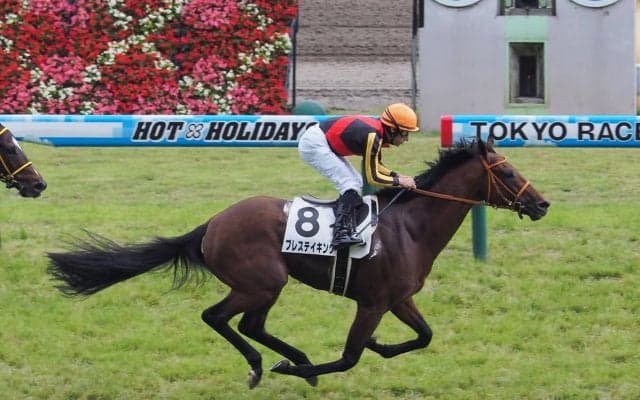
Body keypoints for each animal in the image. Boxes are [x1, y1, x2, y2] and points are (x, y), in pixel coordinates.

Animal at [47, 138, 549, 389]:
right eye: (507, 173)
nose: (542, 204)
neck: (409, 229)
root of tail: (211, 224)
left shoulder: (398, 299)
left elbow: (423, 337)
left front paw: (378, 346)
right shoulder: (372, 303)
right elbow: (347, 358)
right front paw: (303, 371)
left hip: (266, 285)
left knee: (250, 325)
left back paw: (288, 357)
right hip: (263, 281)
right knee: (220, 318)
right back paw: (265, 365)